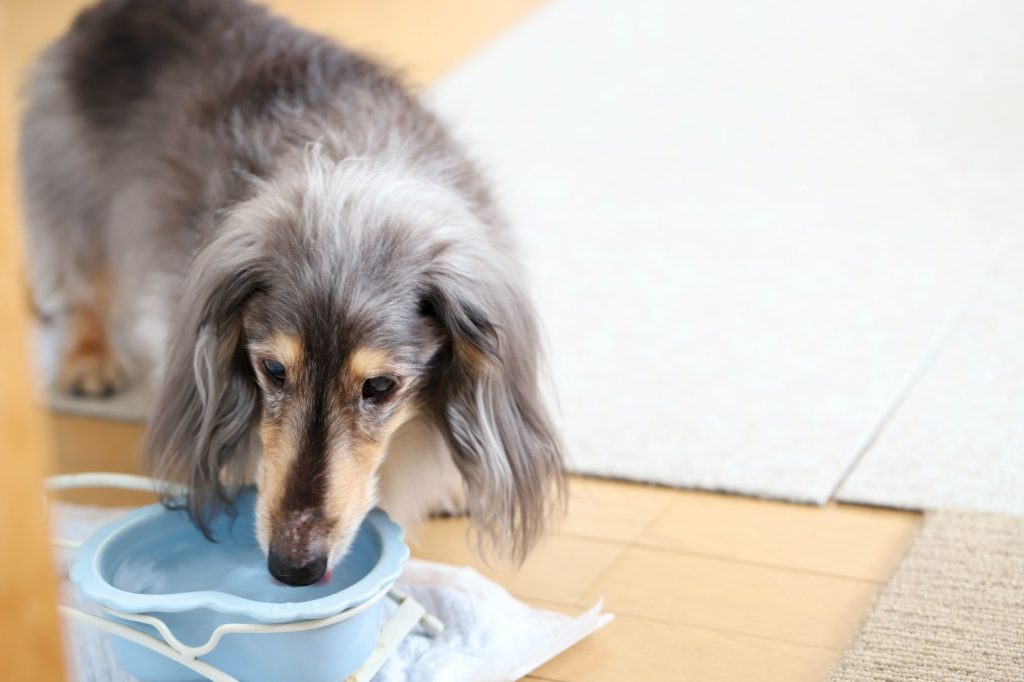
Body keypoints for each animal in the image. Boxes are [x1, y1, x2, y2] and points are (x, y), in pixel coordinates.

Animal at [22, 0, 569, 585]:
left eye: (381, 387)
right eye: (272, 370)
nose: (292, 567)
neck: (353, 173)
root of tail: (120, 8)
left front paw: (448, 484)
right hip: (75, 189)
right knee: (84, 283)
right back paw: (90, 358)